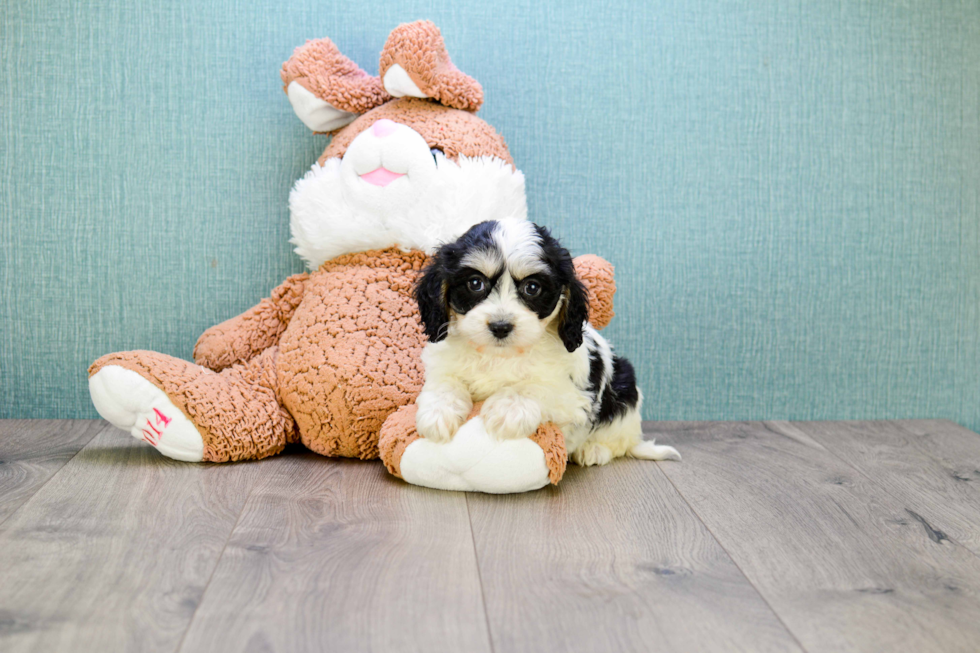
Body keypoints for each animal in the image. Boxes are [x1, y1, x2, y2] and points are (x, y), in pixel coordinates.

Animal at [410, 219, 676, 464]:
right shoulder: (444, 364)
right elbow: (445, 382)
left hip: (625, 390)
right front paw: (437, 413)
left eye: (532, 287)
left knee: (618, 440)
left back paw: (593, 450)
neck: (499, 355)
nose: (500, 326)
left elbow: (537, 386)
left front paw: (508, 408)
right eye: (475, 283)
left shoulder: (572, 396)